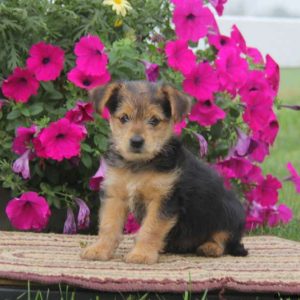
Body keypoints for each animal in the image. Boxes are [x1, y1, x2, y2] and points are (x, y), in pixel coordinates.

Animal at [81, 81, 247, 264]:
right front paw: (99, 249)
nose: (136, 141)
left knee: (224, 237)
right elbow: (108, 225)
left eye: (154, 120)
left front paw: (142, 254)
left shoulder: (163, 199)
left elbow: (150, 229)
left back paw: (210, 247)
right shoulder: (115, 195)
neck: (139, 164)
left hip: (231, 212)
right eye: (124, 118)